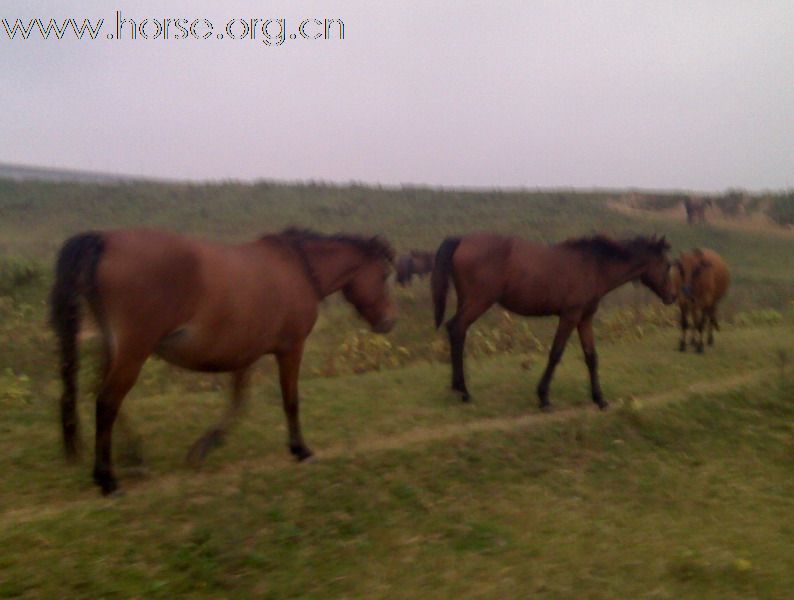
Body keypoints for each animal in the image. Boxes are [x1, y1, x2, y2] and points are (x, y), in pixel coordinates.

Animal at [50, 227, 396, 494]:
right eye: (383, 275)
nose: (388, 321)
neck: (297, 268)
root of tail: (105, 239)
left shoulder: (245, 354)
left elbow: (238, 401)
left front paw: (205, 446)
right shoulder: (291, 349)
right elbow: (290, 400)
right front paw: (301, 449)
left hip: (116, 349)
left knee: (103, 397)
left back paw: (132, 456)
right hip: (133, 352)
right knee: (107, 402)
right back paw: (107, 479)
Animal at [430, 232, 672, 410]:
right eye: (668, 265)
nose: (672, 296)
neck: (593, 265)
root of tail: (461, 240)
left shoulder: (584, 318)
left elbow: (591, 357)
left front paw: (599, 399)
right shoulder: (570, 316)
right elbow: (556, 353)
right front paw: (543, 397)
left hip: (468, 301)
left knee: (457, 331)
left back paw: (459, 388)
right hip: (479, 301)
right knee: (456, 328)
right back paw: (463, 391)